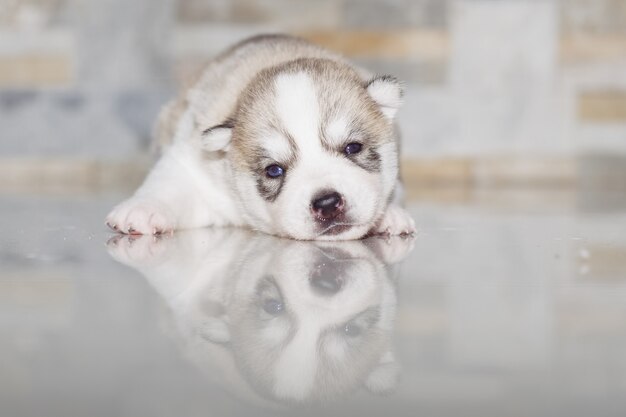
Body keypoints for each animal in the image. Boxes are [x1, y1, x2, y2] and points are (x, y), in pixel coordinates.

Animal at [106, 35, 414, 240]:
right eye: (274, 170)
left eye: (352, 147)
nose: (327, 203)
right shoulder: (192, 163)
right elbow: (169, 182)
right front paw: (143, 209)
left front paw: (389, 214)